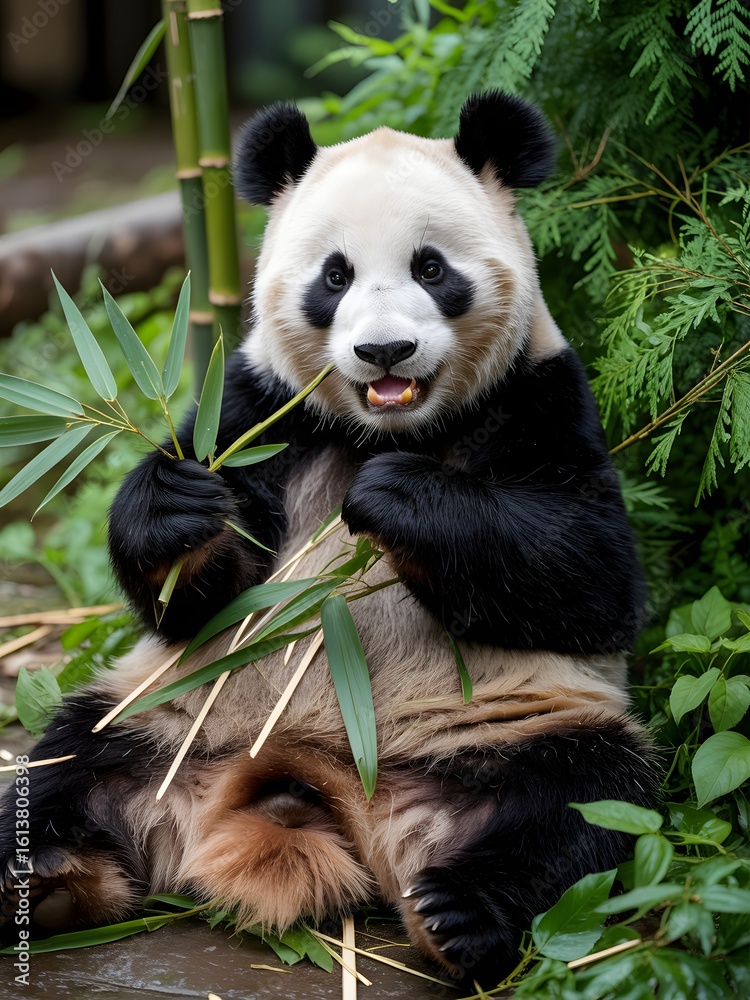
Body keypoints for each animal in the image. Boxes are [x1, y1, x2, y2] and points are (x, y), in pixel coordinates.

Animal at [0, 92, 659, 987]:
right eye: (334, 276)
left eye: (431, 268)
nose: (385, 350)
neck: (385, 429)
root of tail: (311, 783)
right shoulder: (258, 406)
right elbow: (195, 594)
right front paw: (177, 504)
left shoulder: (541, 393)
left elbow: (594, 579)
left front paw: (396, 498)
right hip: (162, 714)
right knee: (64, 769)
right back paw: (39, 878)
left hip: (511, 725)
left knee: (584, 802)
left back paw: (460, 916)